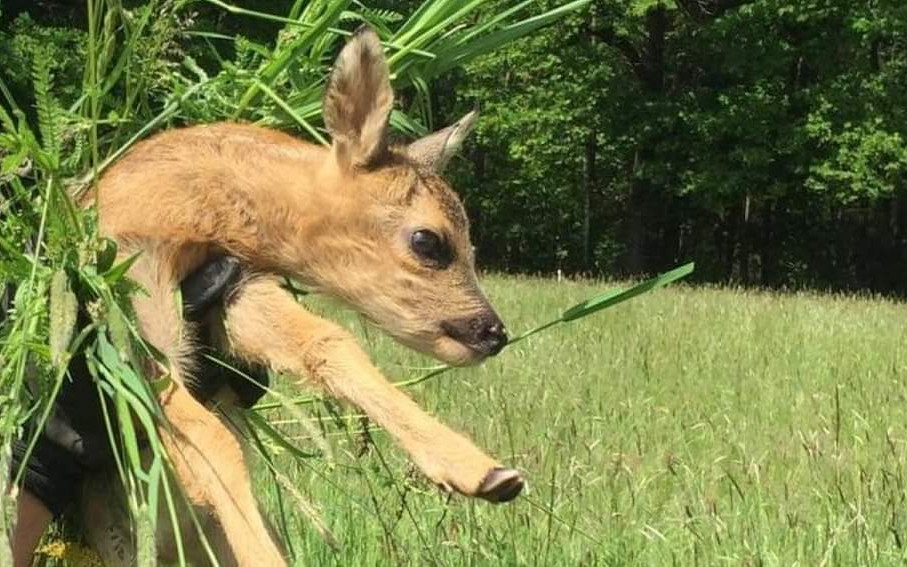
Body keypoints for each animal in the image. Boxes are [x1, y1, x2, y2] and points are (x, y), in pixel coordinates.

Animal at [88, 25, 524, 564]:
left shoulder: (234, 285)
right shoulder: (130, 307)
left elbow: (327, 343)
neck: (181, 209)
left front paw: (484, 471)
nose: (493, 331)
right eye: (429, 241)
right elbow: (211, 436)